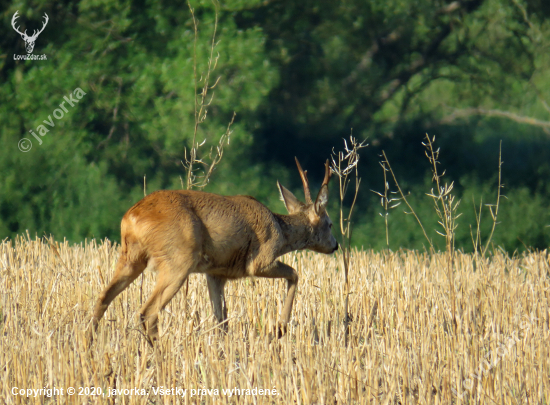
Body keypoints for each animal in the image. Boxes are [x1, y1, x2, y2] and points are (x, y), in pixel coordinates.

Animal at [92, 156, 338, 342]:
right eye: (330, 224)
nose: (335, 245)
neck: (279, 228)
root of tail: (131, 218)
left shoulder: (216, 273)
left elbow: (221, 319)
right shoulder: (259, 261)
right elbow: (295, 274)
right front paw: (279, 329)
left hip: (131, 258)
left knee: (103, 297)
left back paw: (90, 343)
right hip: (178, 259)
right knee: (148, 312)